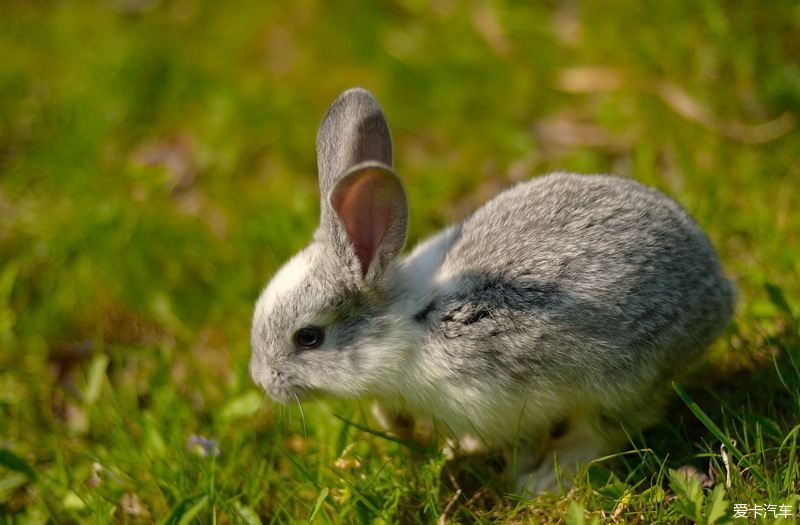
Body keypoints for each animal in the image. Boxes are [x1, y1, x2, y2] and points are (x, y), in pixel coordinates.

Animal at [250, 88, 736, 494]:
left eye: (308, 337)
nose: (262, 381)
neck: (412, 323)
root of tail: (719, 292)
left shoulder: (510, 402)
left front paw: (513, 478)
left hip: (623, 380)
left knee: (607, 429)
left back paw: (546, 480)